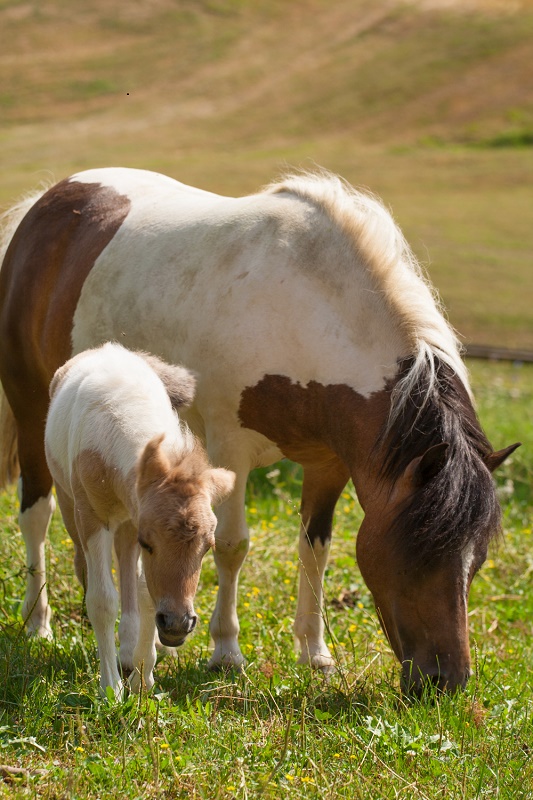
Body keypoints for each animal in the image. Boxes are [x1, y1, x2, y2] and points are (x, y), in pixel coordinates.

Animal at [44, 342, 236, 692]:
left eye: (208, 548)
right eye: (148, 543)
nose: (177, 625)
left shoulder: (135, 522)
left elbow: (146, 593)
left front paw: (142, 679)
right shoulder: (94, 519)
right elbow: (102, 600)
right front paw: (111, 689)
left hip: (125, 525)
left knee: (133, 582)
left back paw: (129, 653)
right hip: (70, 505)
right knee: (85, 567)